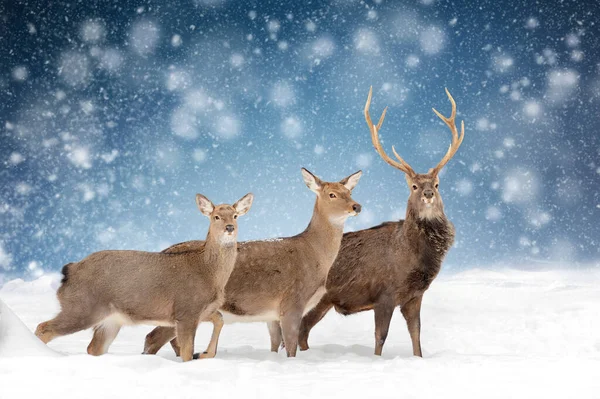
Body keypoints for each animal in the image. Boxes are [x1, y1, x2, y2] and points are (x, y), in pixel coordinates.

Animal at [35, 192, 253, 364]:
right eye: (216, 216)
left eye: (235, 215)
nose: (229, 227)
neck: (209, 273)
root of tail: (69, 271)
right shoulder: (186, 309)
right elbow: (186, 352)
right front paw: (198, 356)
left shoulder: (201, 310)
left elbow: (219, 319)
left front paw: (206, 354)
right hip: (81, 307)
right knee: (43, 328)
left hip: (110, 319)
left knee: (93, 348)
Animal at [143, 169, 364, 360]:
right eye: (332, 194)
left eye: (350, 192)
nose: (356, 206)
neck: (315, 256)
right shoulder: (293, 300)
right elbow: (291, 348)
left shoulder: (272, 314)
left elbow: (275, 345)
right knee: (152, 338)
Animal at [296, 87, 464, 356]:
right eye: (414, 186)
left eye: (437, 184)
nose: (428, 194)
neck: (413, 256)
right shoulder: (384, 293)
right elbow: (380, 337)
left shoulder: (414, 296)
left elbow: (416, 335)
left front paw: (419, 357)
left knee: (303, 329)